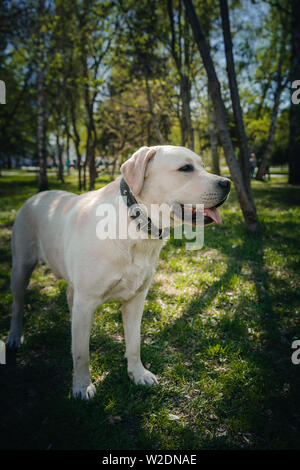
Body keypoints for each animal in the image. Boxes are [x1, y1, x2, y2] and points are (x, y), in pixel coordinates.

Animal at [5, 145, 230, 398]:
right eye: (186, 168)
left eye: (202, 166)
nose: (228, 183)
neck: (136, 223)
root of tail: (37, 196)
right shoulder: (87, 299)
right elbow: (82, 355)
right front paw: (82, 386)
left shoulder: (136, 299)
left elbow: (134, 343)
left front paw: (137, 373)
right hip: (21, 268)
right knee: (18, 304)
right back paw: (14, 336)